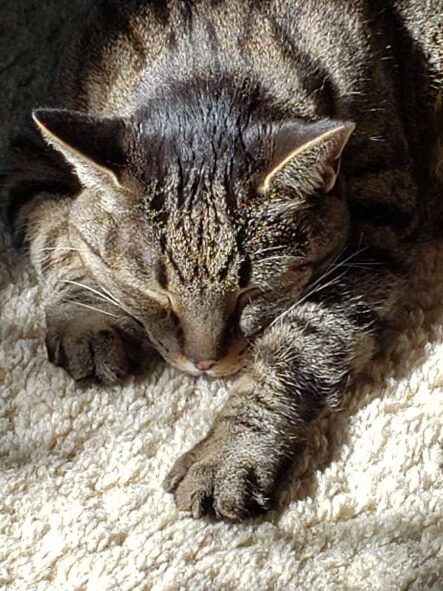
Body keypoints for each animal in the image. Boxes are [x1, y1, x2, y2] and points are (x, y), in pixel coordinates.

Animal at [1, 0, 442, 520]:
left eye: (251, 294)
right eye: (156, 294)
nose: (203, 363)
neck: (205, 58)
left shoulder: (377, 229)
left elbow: (298, 344)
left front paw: (230, 451)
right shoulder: (28, 158)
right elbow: (60, 235)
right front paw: (87, 320)